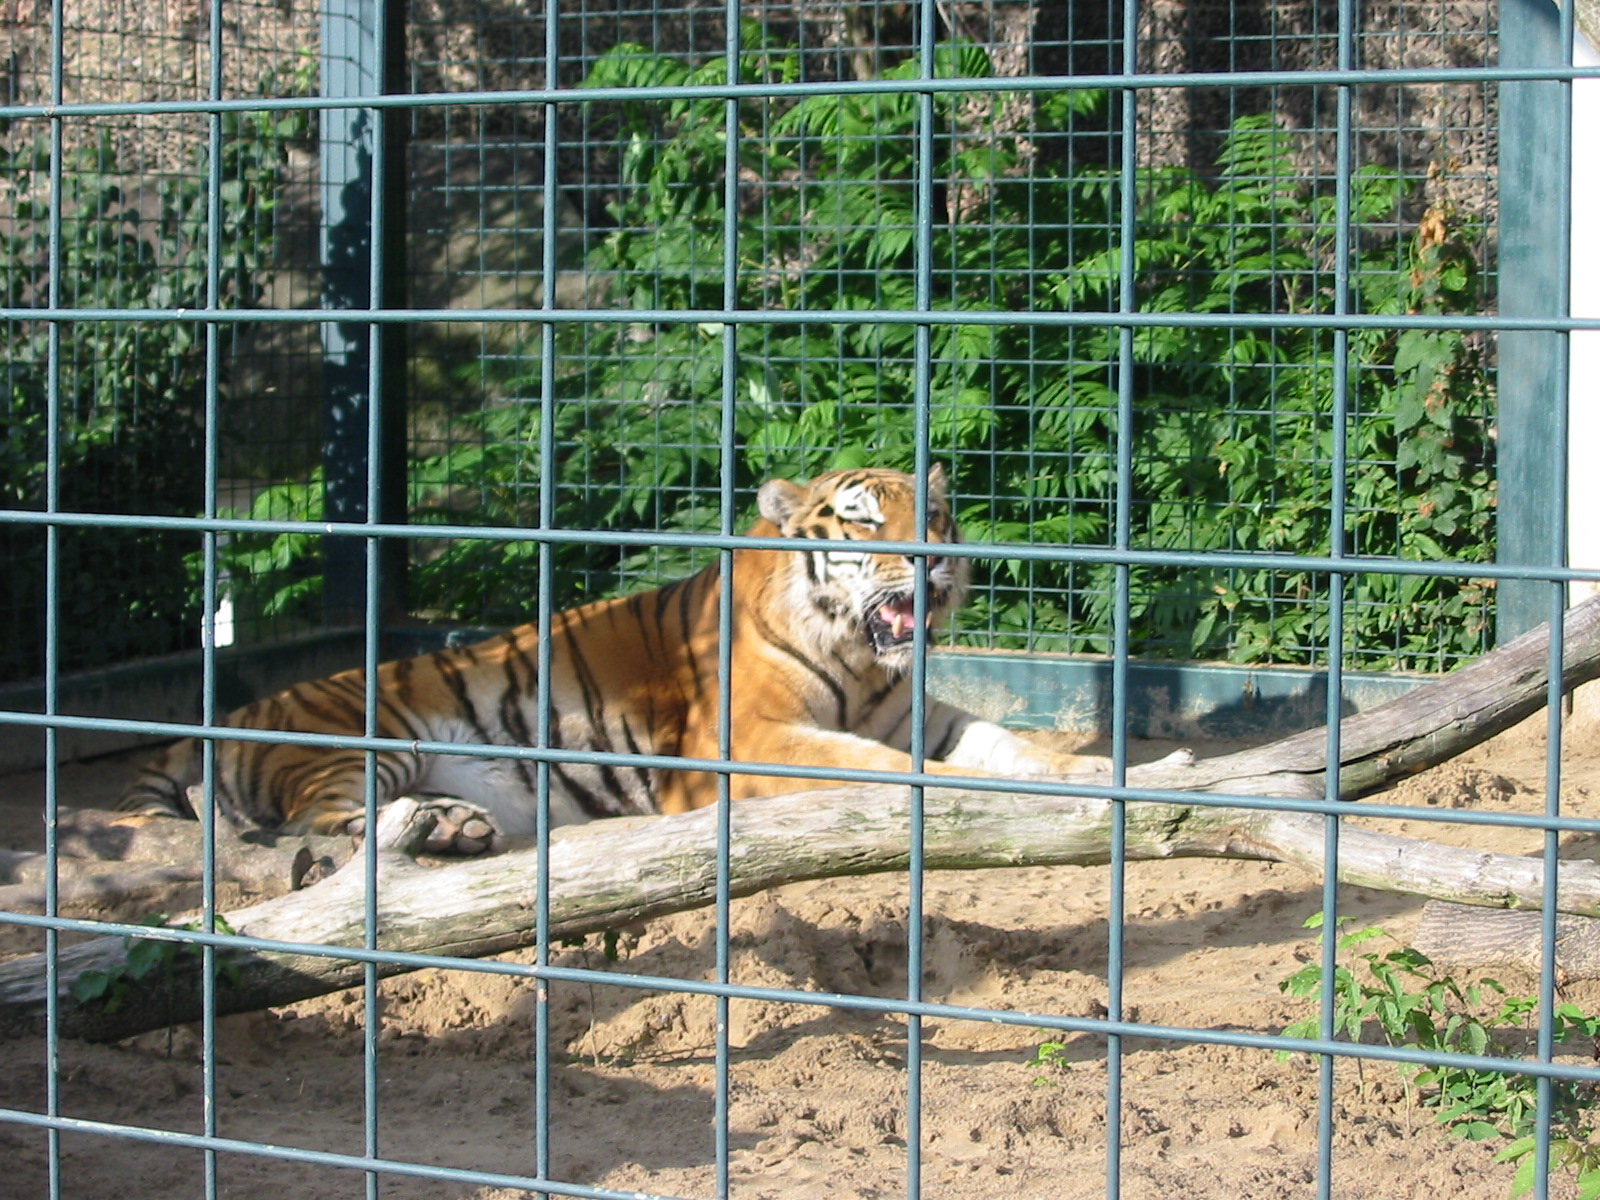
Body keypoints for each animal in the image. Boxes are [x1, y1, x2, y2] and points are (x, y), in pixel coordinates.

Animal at [118, 466, 1115, 853]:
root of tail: (231, 714)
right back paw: (442, 825)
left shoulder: (924, 712)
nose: (933, 561)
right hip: (369, 735)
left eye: (935, 514)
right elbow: (872, 765)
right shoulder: (747, 738)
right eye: (868, 519)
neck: (864, 660)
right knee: (310, 826)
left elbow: (1005, 742)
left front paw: (1087, 771)